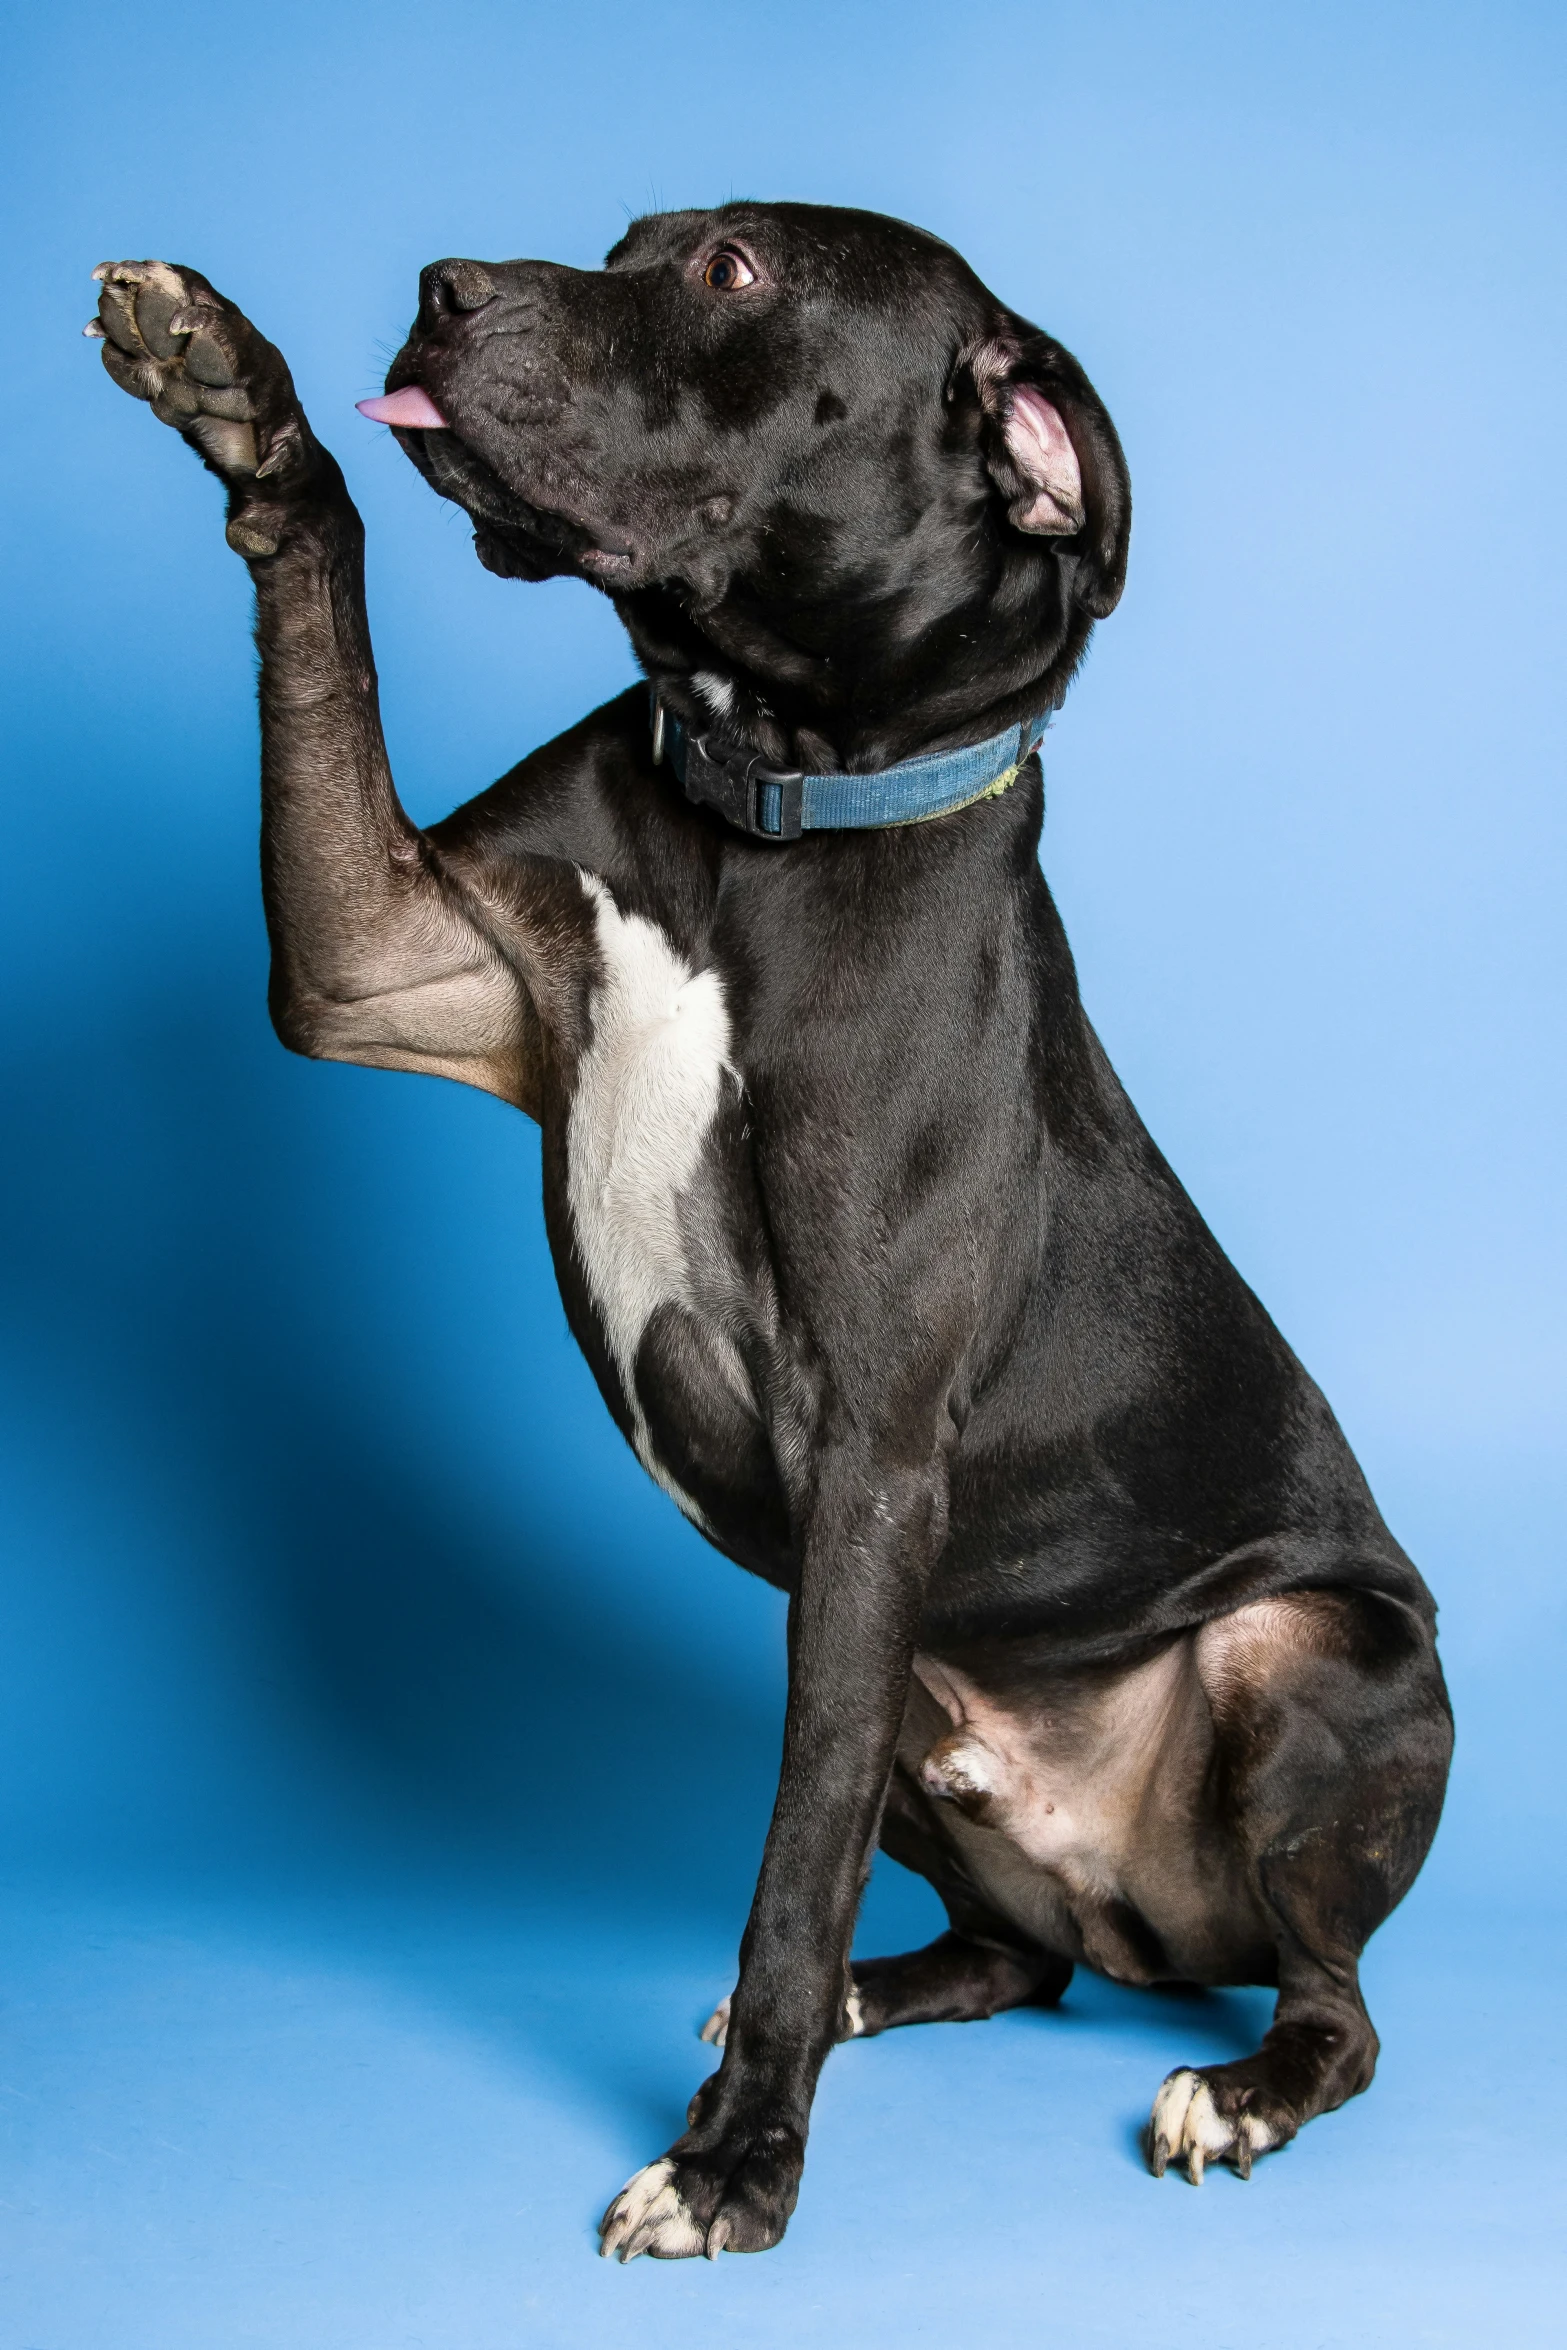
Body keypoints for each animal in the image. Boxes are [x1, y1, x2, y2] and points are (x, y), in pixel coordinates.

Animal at [92, 206, 1456, 2256]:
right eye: (627, 245)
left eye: (731, 272)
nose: (438, 291)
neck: (764, 810)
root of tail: (1148, 1921)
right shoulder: (374, 957)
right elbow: (319, 607)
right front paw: (233, 388)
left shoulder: (871, 1464)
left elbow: (789, 1850)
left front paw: (738, 2157)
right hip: (904, 1707)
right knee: (1016, 1956)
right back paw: (878, 1997)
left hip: (1302, 1656)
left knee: (1338, 2004)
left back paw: (1233, 2083)